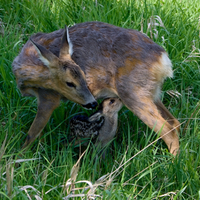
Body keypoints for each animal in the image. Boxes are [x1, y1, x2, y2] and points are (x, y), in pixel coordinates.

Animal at [12, 21, 181, 155]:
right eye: (70, 82)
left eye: (83, 74)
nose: (92, 103)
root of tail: (163, 59)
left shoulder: (49, 97)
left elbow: (31, 134)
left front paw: (18, 158)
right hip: (152, 92)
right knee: (175, 122)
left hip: (134, 92)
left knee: (168, 130)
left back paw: (173, 163)